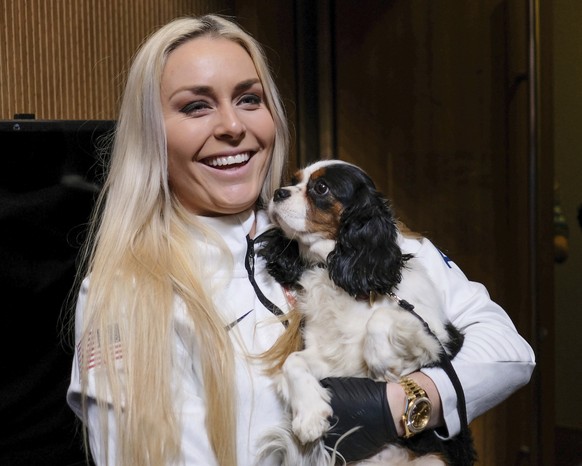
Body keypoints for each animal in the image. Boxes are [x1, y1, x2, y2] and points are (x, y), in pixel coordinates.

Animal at [256, 161, 474, 466]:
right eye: (294, 179)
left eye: (321, 188)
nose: (278, 192)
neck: (337, 274)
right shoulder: (336, 357)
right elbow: (293, 362)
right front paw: (310, 415)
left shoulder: (439, 338)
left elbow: (380, 318)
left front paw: (383, 361)